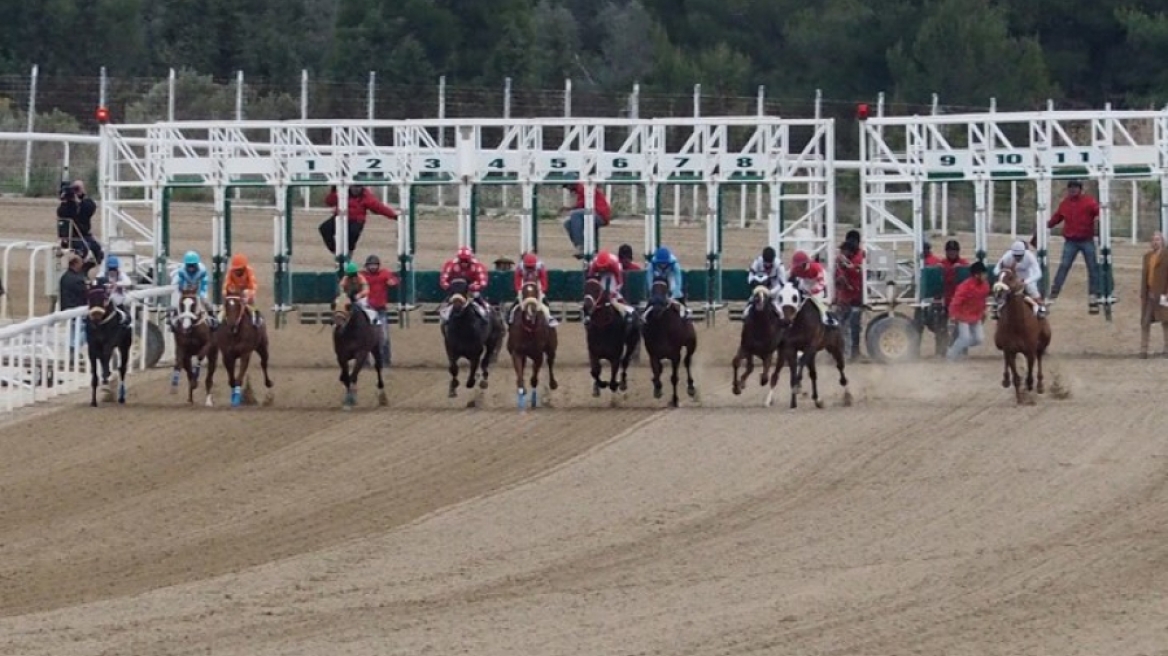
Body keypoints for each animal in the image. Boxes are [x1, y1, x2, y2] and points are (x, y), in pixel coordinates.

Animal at [504, 280, 558, 408]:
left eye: (536, 291)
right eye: (524, 292)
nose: (530, 310)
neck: (528, 329)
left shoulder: (538, 355)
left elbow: (534, 379)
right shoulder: (517, 352)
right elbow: (519, 373)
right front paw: (522, 389)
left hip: (551, 349)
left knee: (550, 363)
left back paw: (552, 384)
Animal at [995, 267, 1051, 403]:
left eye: (1010, 277)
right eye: (999, 276)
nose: (998, 292)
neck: (1017, 325)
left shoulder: (1030, 351)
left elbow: (1030, 373)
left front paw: (1030, 386)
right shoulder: (1010, 351)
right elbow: (1016, 376)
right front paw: (1019, 399)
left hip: (1043, 341)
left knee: (1040, 357)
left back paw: (1040, 385)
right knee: (1005, 358)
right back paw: (1006, 380)